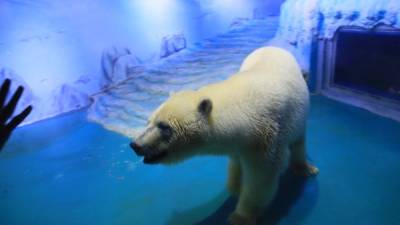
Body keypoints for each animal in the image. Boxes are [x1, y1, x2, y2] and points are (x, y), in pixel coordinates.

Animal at [130, 46, 318, 224]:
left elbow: (260, 180)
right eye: (148, 122)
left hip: (298, 116)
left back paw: (305, 168)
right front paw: (235, 187)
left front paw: (240, 218)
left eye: (164, 126)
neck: (243, 111)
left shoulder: (266, 139)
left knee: (298, 142)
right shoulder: (241, 144)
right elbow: (237, 164)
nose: (135, 145)